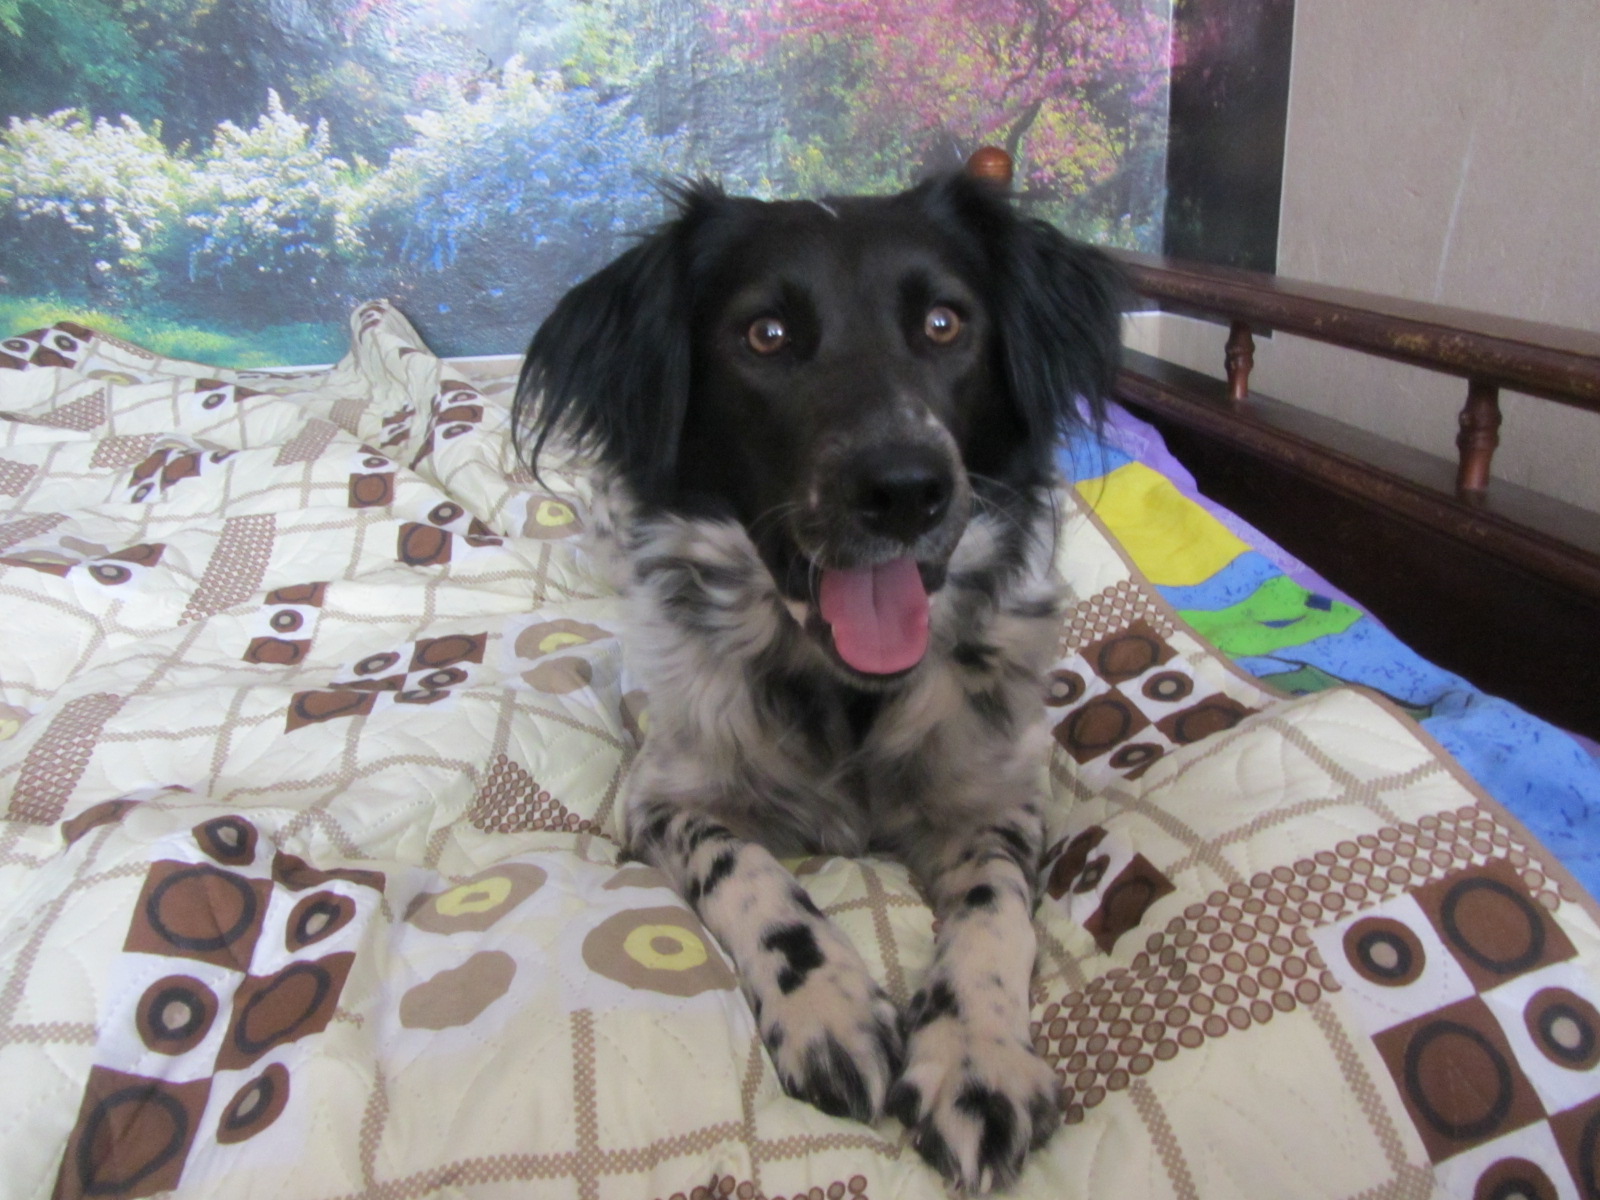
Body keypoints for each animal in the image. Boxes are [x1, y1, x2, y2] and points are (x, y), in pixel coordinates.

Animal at [513, 171, 1122, 1192]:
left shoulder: (996, 796)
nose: (906, 488)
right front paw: (828, 1004)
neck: (845, 692)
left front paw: (978, 1058)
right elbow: (749, 873)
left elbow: (997, 914)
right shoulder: (664, 795)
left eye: (945, 324)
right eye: (767, 334)